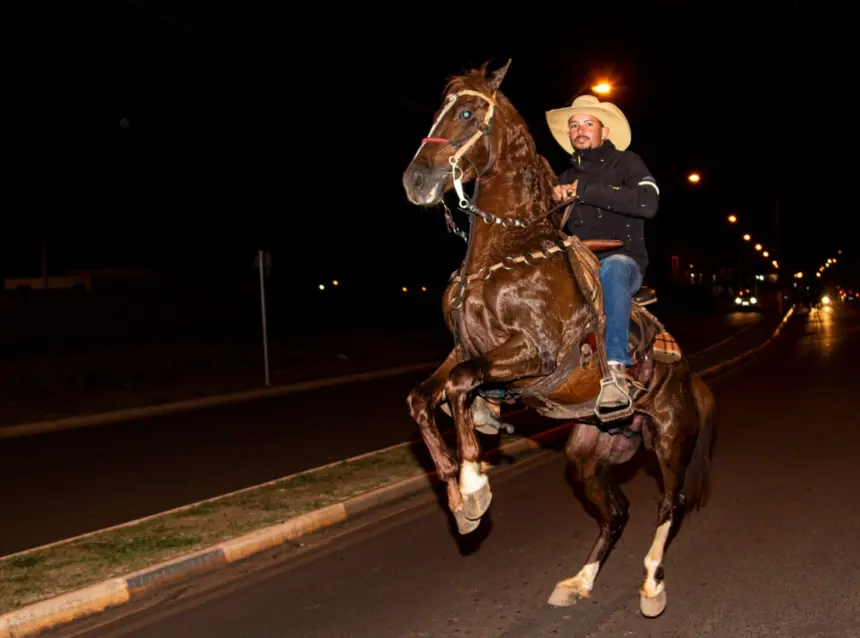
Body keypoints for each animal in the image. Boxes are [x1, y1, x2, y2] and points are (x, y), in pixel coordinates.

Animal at [400, 60, 716, 620]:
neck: (505, 252)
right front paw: (459, 501)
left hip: (669, 440)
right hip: (589, 455)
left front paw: (474, 485)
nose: (416, 180)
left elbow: (460, 385)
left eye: (467, 112)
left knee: (669, 505)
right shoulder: (466, 348)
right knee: (617, 513)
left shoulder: (536, 355)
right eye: (441, 107)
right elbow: (423, 397)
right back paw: (577, 581)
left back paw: (651, 585)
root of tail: (689, 374)